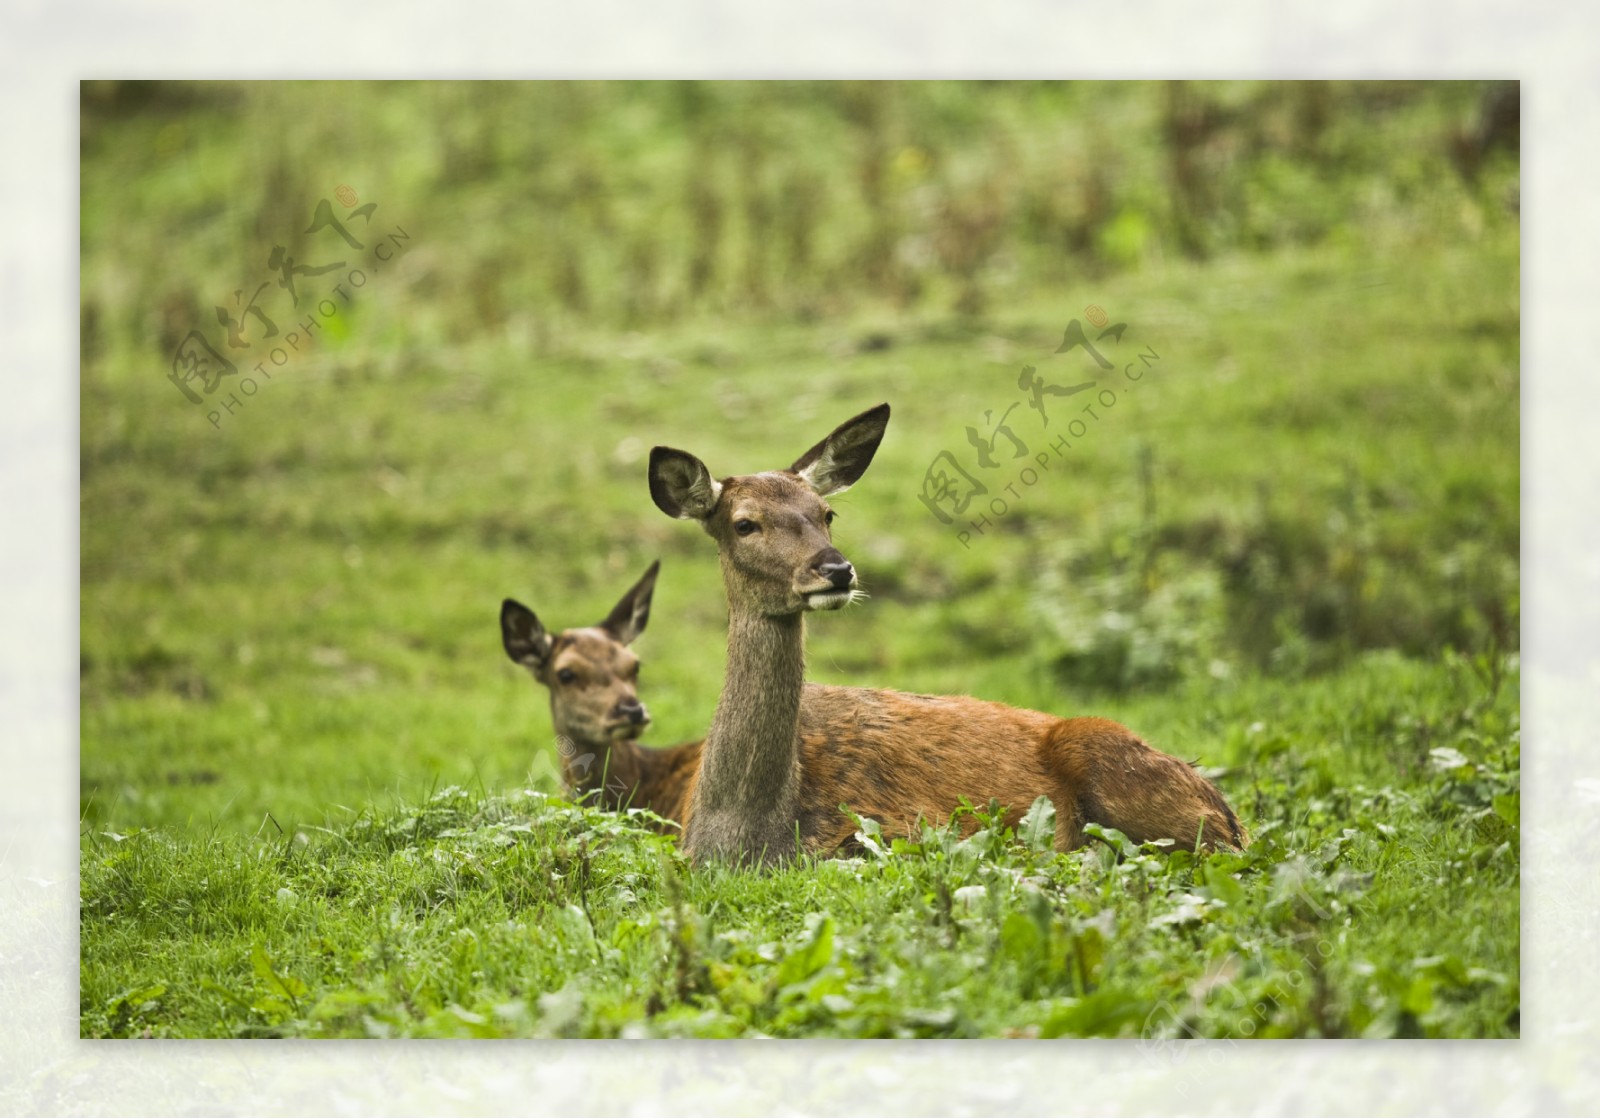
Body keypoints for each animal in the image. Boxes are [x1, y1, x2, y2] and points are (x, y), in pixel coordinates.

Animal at [649, 403, 1248, 864]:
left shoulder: (886, 834)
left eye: (827, 513)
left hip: (1126, 771)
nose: (837, 570)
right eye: (745, 523)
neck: (747, 838)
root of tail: (1229, 813)